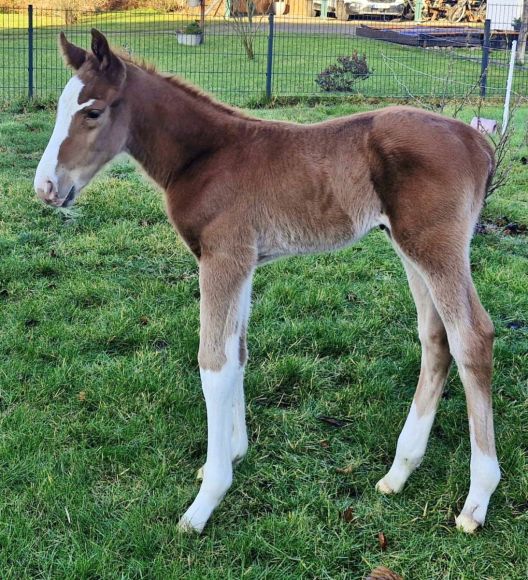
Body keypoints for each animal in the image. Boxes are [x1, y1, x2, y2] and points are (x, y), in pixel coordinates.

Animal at [34, 29, 500, 532]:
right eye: (60, 106)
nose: (46, 188)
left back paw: (476, 499)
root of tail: (478, 141)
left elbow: (214, 363)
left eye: (93, 111)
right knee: (436, 338)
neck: (204, 156)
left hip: (435, 246)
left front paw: (206, 499)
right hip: (408, 246)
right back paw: (399, 472)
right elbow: (237, 352)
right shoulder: (243, 262)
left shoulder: (223, 257)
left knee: (472, 337)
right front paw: (233, 453)